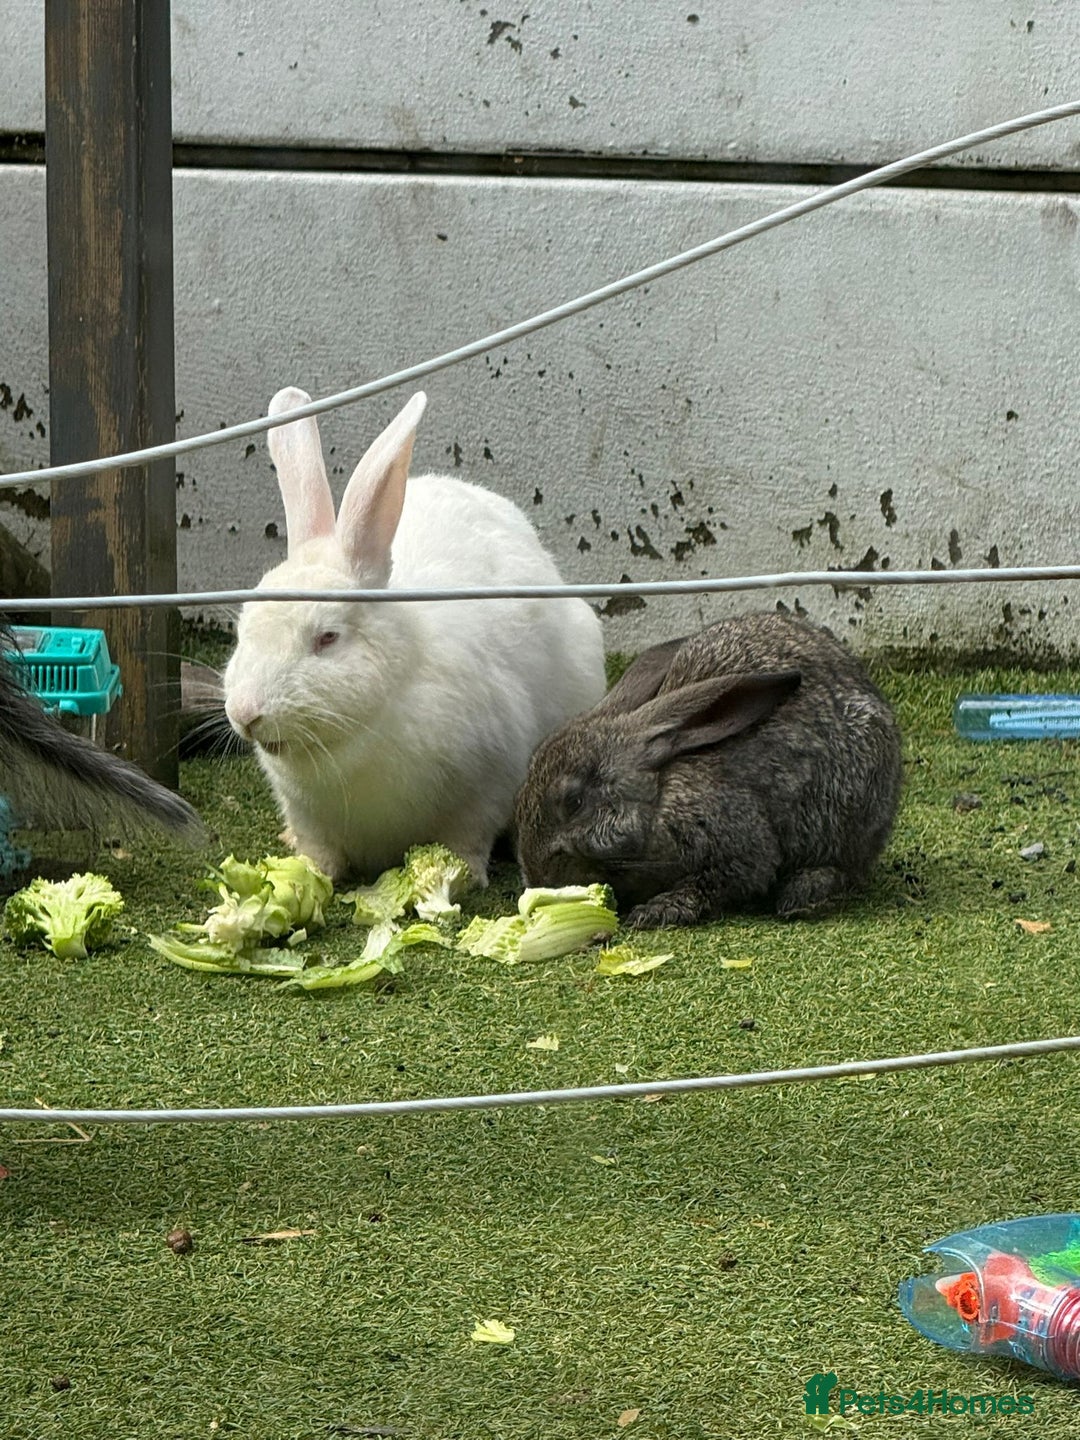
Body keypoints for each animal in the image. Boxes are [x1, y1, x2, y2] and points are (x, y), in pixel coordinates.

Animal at [222, 387, 606, 884]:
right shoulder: (306, 814)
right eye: (242, 628)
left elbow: (467, 836)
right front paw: (308, 873)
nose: (245, 714)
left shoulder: (486, 785)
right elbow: (319, 849)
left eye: (327, 638)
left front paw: (461, 875)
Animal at [514, 610, 903, 928]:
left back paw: (803, 894)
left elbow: (717, 882)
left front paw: (658, 911)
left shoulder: (738, 847)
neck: (658, 798)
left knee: (844, 868)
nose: (535, 878)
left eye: (574, 802)